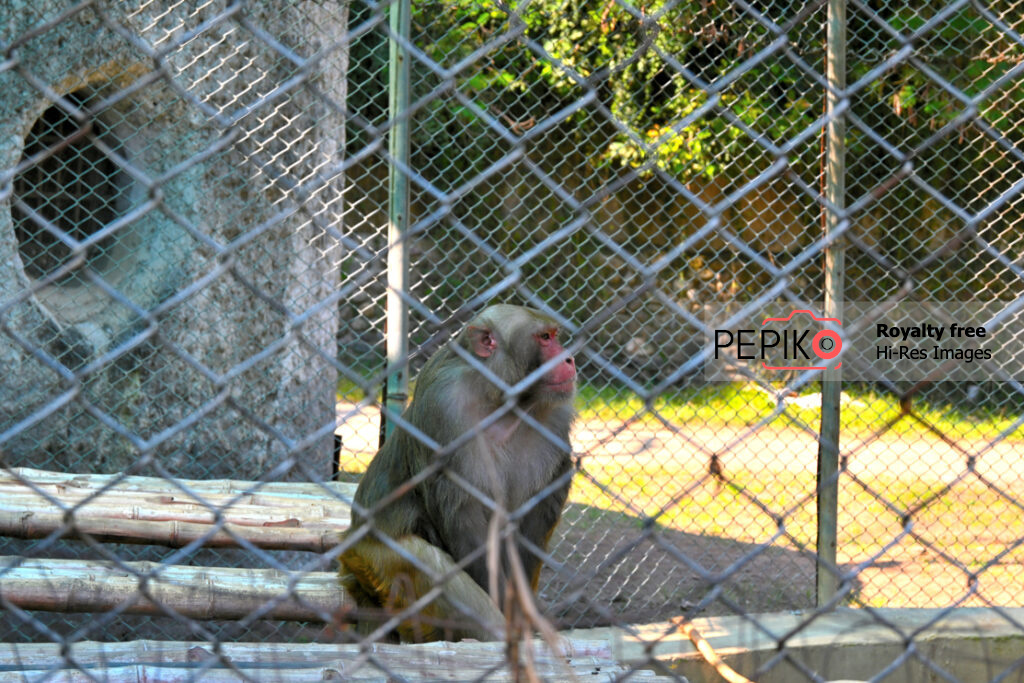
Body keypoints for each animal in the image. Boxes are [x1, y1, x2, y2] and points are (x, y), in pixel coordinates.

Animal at [337, 305, 573, 643]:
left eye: (554, 336)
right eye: (544, 338)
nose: (568, 359)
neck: (499, 400)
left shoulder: (554, 416)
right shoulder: (445, 405)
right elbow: (461, 512)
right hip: (370, 556)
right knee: (427, 563)